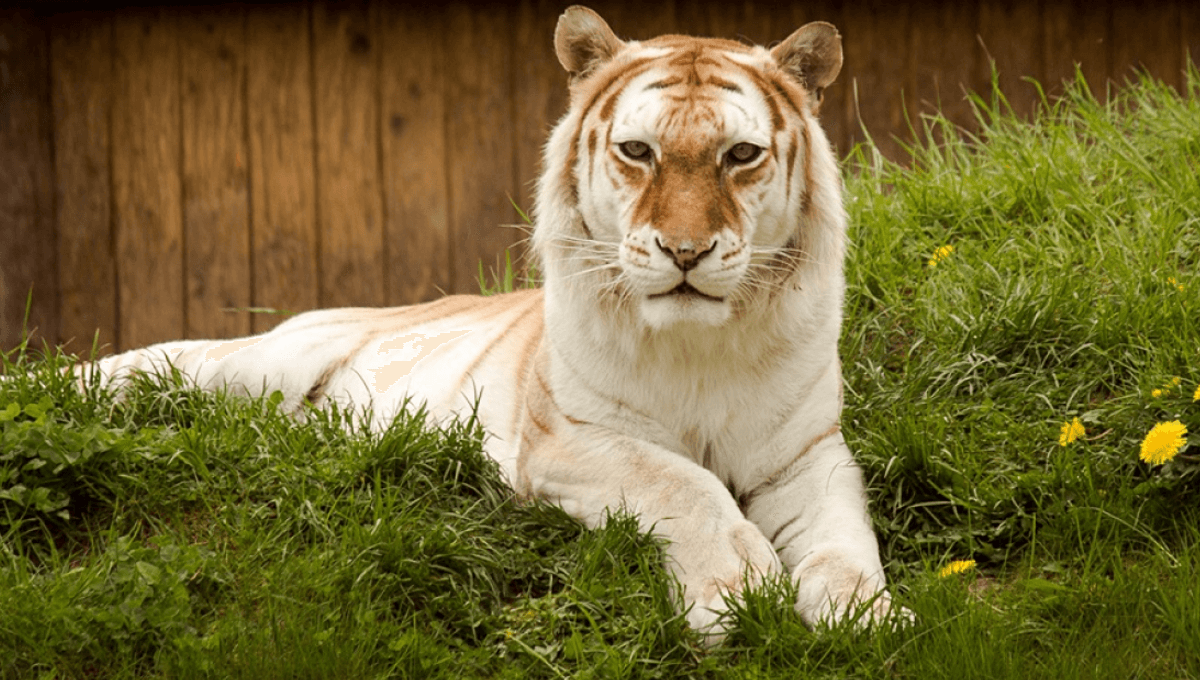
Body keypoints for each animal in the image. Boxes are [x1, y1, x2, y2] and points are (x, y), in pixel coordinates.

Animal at [79, 5, 894, 636]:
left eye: (742, 154)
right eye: (637, 150)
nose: (685, 252)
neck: (700, 346)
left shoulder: (808, 454)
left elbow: (844, 535)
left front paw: (866, 614)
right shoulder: (570, 438)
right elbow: (681, 482)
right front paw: (735, 592)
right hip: (254, 362)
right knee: (145, 368)